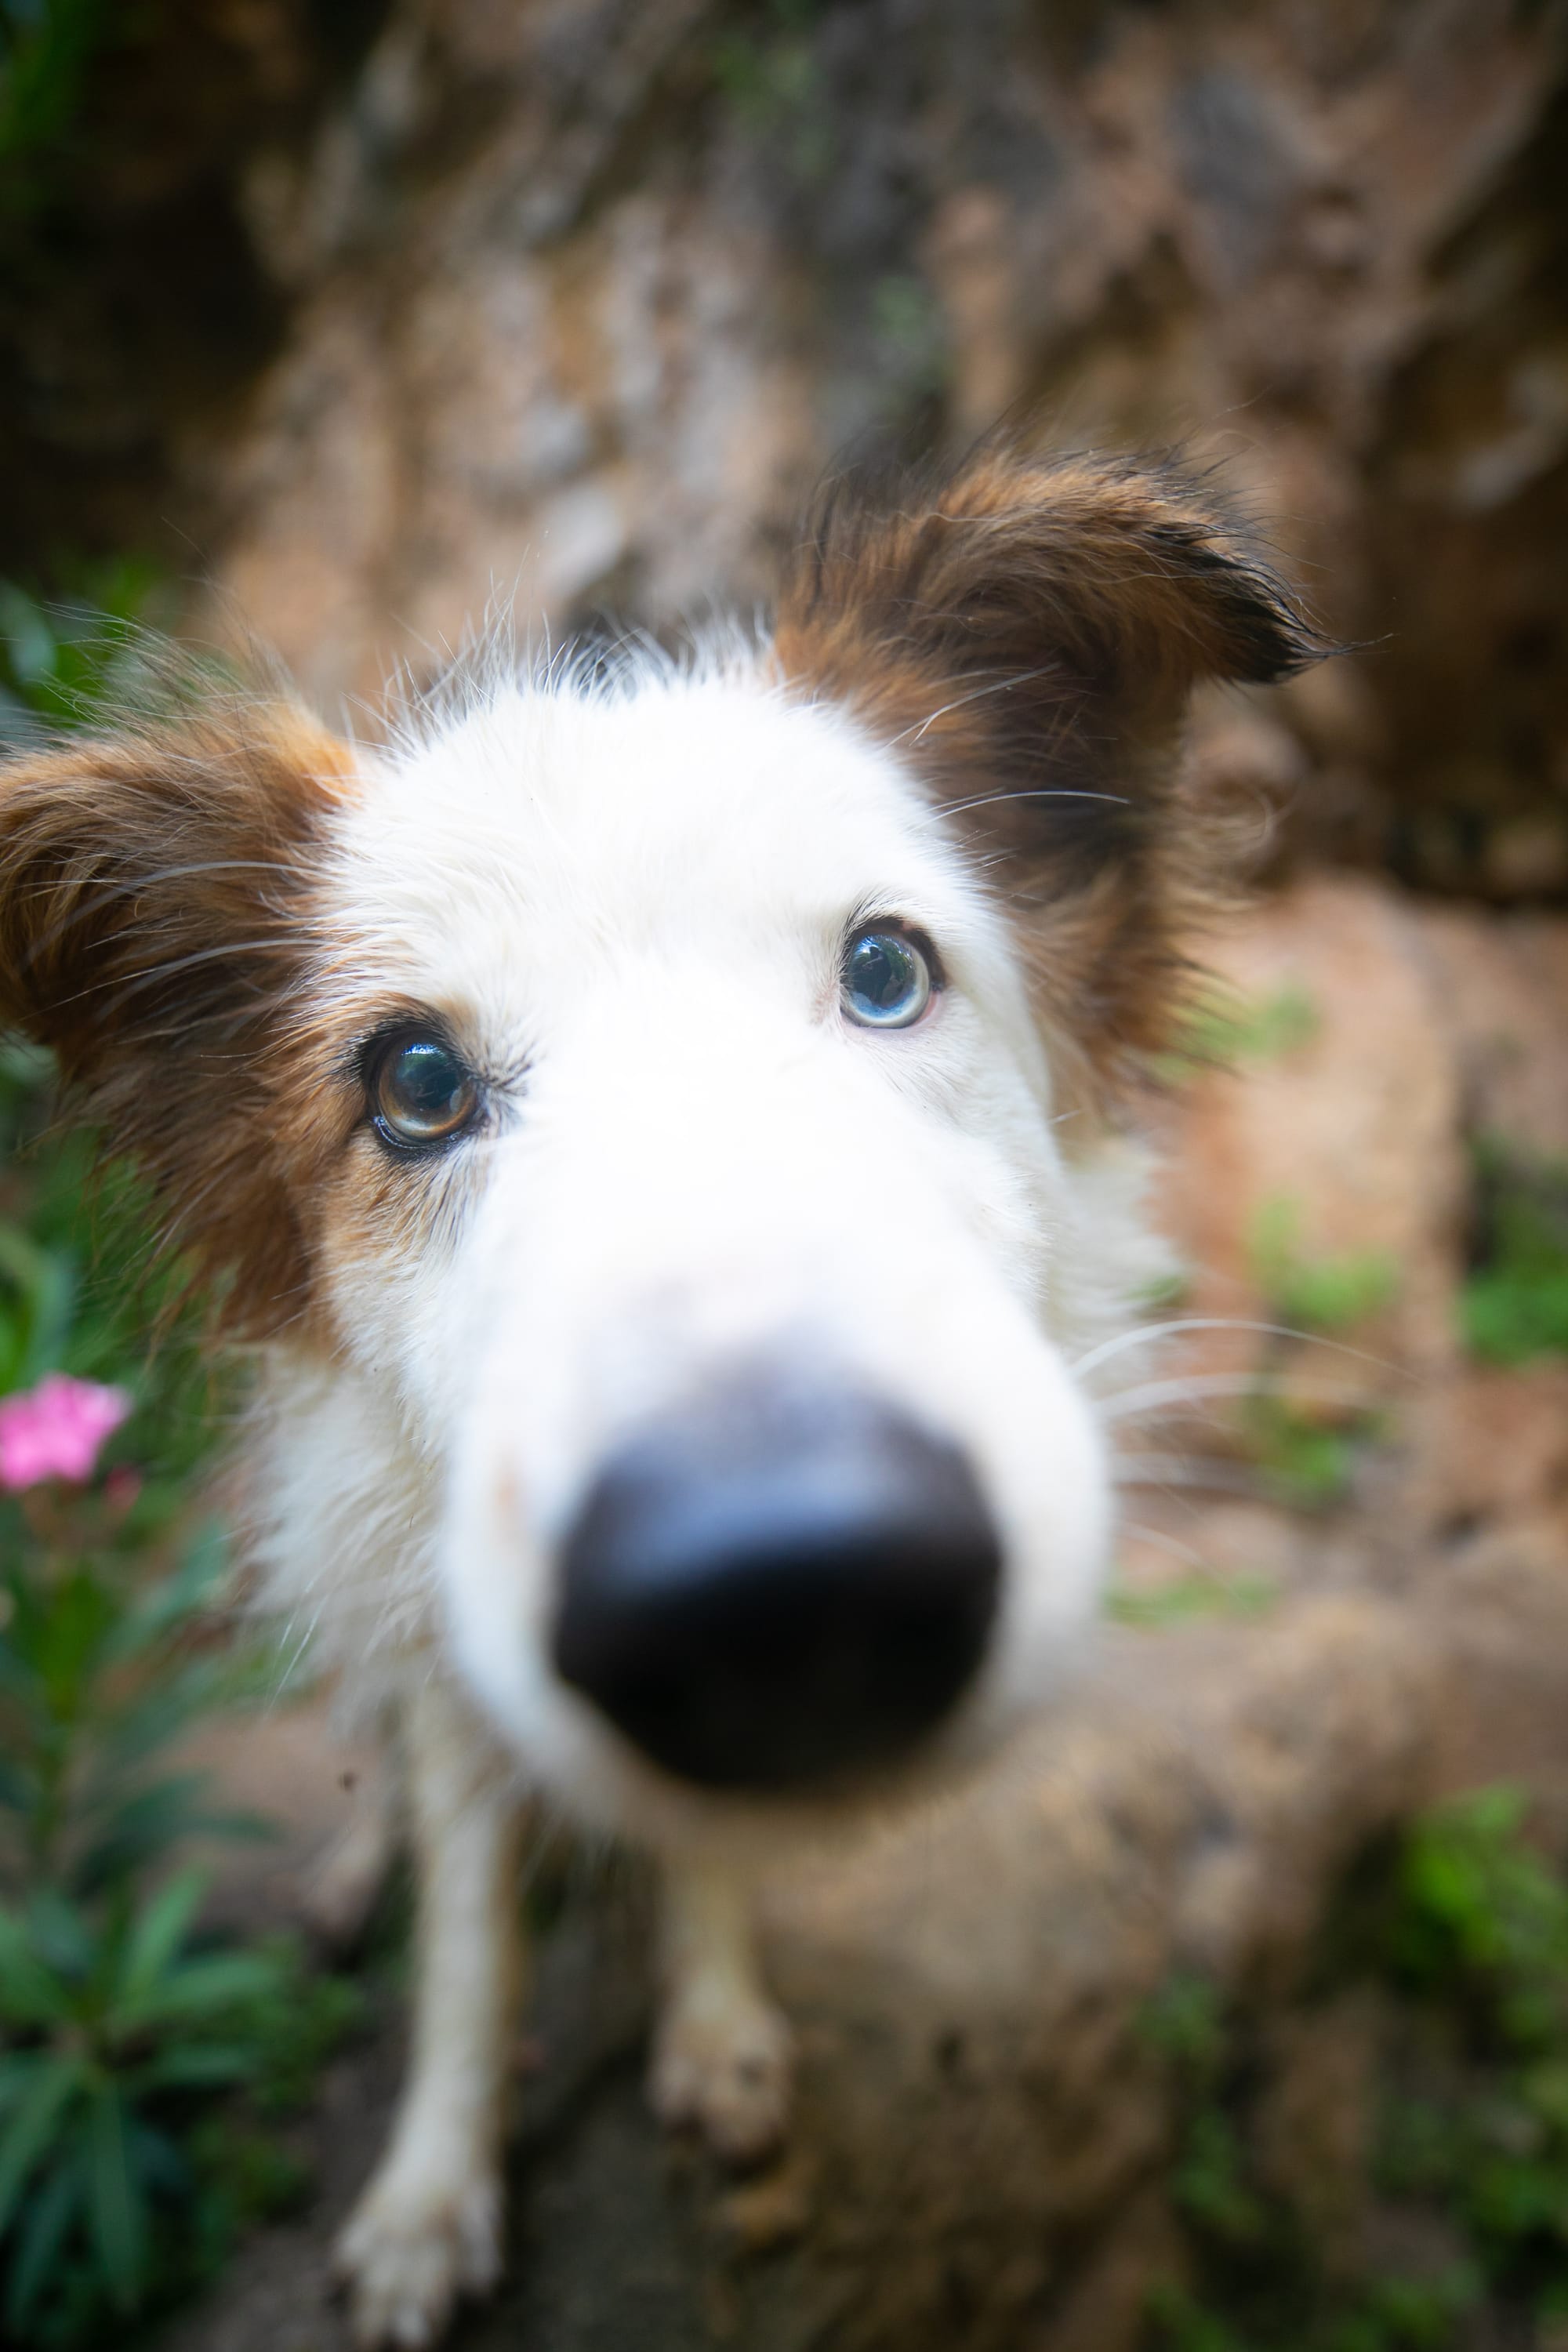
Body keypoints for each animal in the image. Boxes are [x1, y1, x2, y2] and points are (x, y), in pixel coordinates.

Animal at [0, 445, 1326, 2352]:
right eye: (414, 1084)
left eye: (885, 970)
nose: (780, 1592)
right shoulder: (454, 1661)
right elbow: (469, 1947)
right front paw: (427, 2196)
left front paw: (711, 2024)